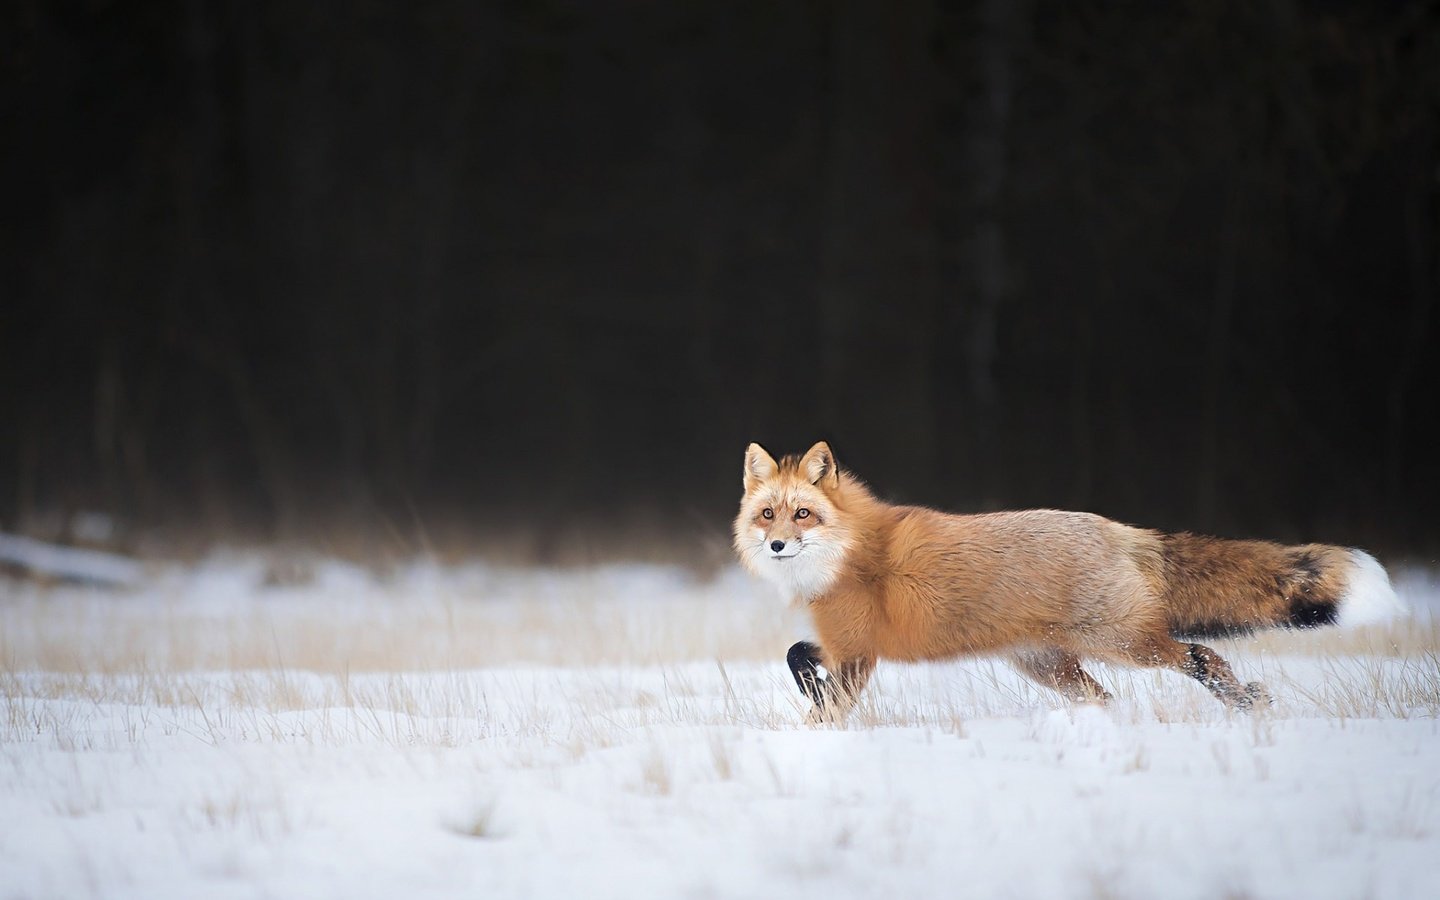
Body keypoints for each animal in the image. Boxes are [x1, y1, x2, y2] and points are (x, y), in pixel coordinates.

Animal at [737, 437, 1399, 720]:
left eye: (803, 515)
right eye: (767, 514)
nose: (776, 544)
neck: (850, 555)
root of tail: (1120, 530)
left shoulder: (858, 652)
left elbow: (820, 689)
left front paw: (817, 732)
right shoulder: (843, 644)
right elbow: (798, 656)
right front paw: (811, 703)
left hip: (1123, 644)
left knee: (1201, 655)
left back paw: (1244, 701)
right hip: (1054, 668)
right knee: (1108, 698)